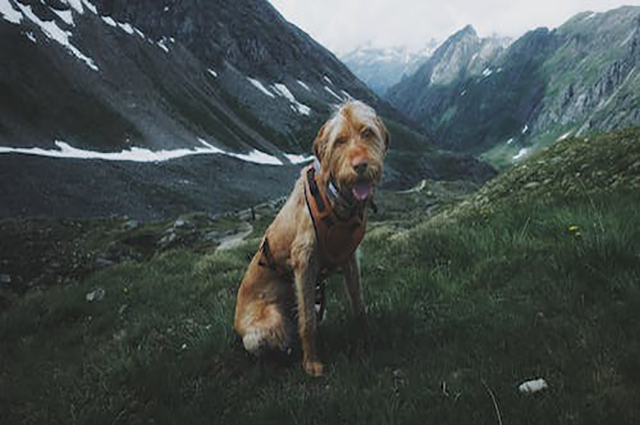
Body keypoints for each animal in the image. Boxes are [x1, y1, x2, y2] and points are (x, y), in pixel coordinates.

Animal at [232, 101, 388, 376]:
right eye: (340, 141)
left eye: (367, 132)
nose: (360, 166)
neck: (336, 199)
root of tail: (235, 323)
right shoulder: (304, 262)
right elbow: (307, 322)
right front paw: (311, 363)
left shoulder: (350, 259)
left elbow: (359, 306)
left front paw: (368, 343)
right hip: (265, 327)